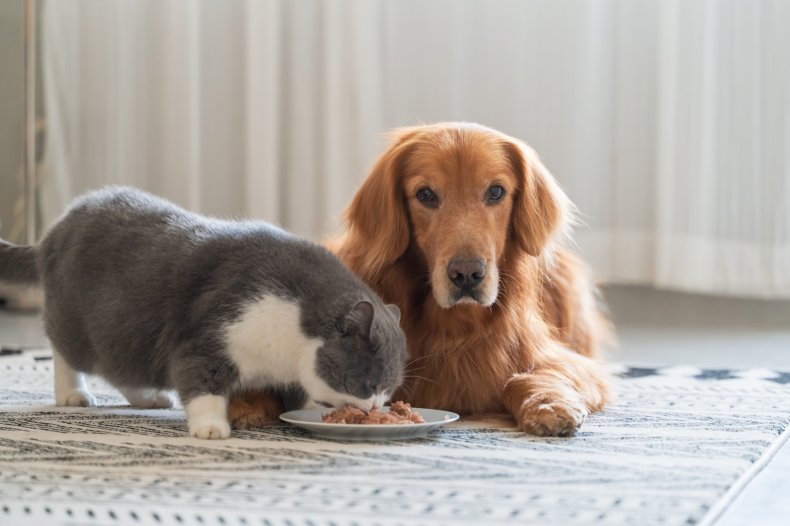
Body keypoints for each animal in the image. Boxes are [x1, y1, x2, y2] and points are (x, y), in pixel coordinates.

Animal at [0, 189, 408, 442]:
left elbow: (299, 392)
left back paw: (148, 397)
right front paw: (211, 427)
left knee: (122, 369)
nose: (377, 407)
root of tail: (52, 235)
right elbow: (201, 381)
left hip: (124, 338)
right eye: (369, 384)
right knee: (66, 351)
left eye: (389, 389)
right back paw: (73, 393)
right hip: (82, 326)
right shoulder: (207, 337)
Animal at [229, 122, 612, 438]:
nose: (467, 274)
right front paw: (246, 400)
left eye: (496, 192)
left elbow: (530, 376)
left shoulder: (563, 361)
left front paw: (547, 405)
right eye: (426, 194)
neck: (451, 324)